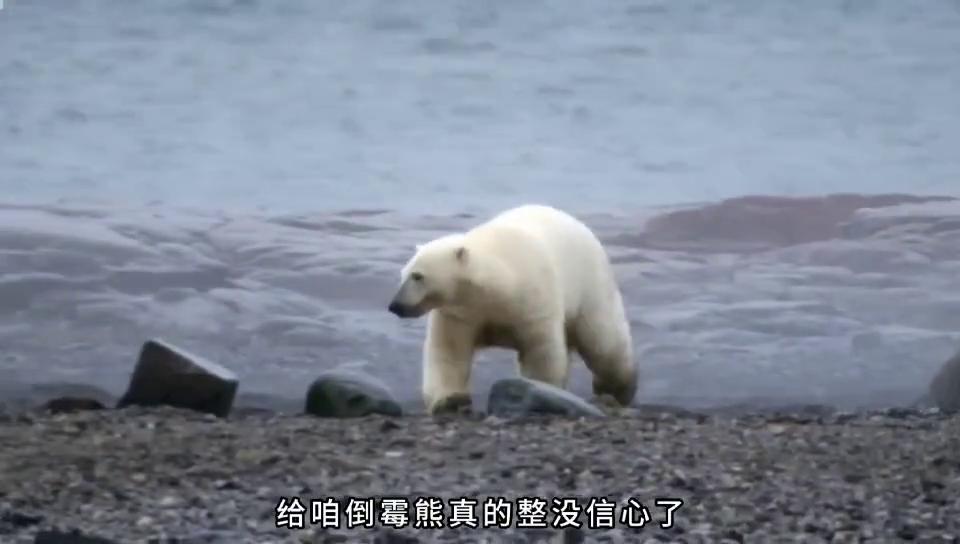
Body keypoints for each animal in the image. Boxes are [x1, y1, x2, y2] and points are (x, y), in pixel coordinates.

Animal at [388, 204, 638, 414]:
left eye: (418, 276)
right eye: (402, 274)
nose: (395, 306)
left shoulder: (532, 300)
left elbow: (540, 351)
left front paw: (542, 390)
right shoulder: (460, 312)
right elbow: (449, 351)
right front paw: (450, 400)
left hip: (590, 285)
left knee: (603, 341)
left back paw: (617, 391)